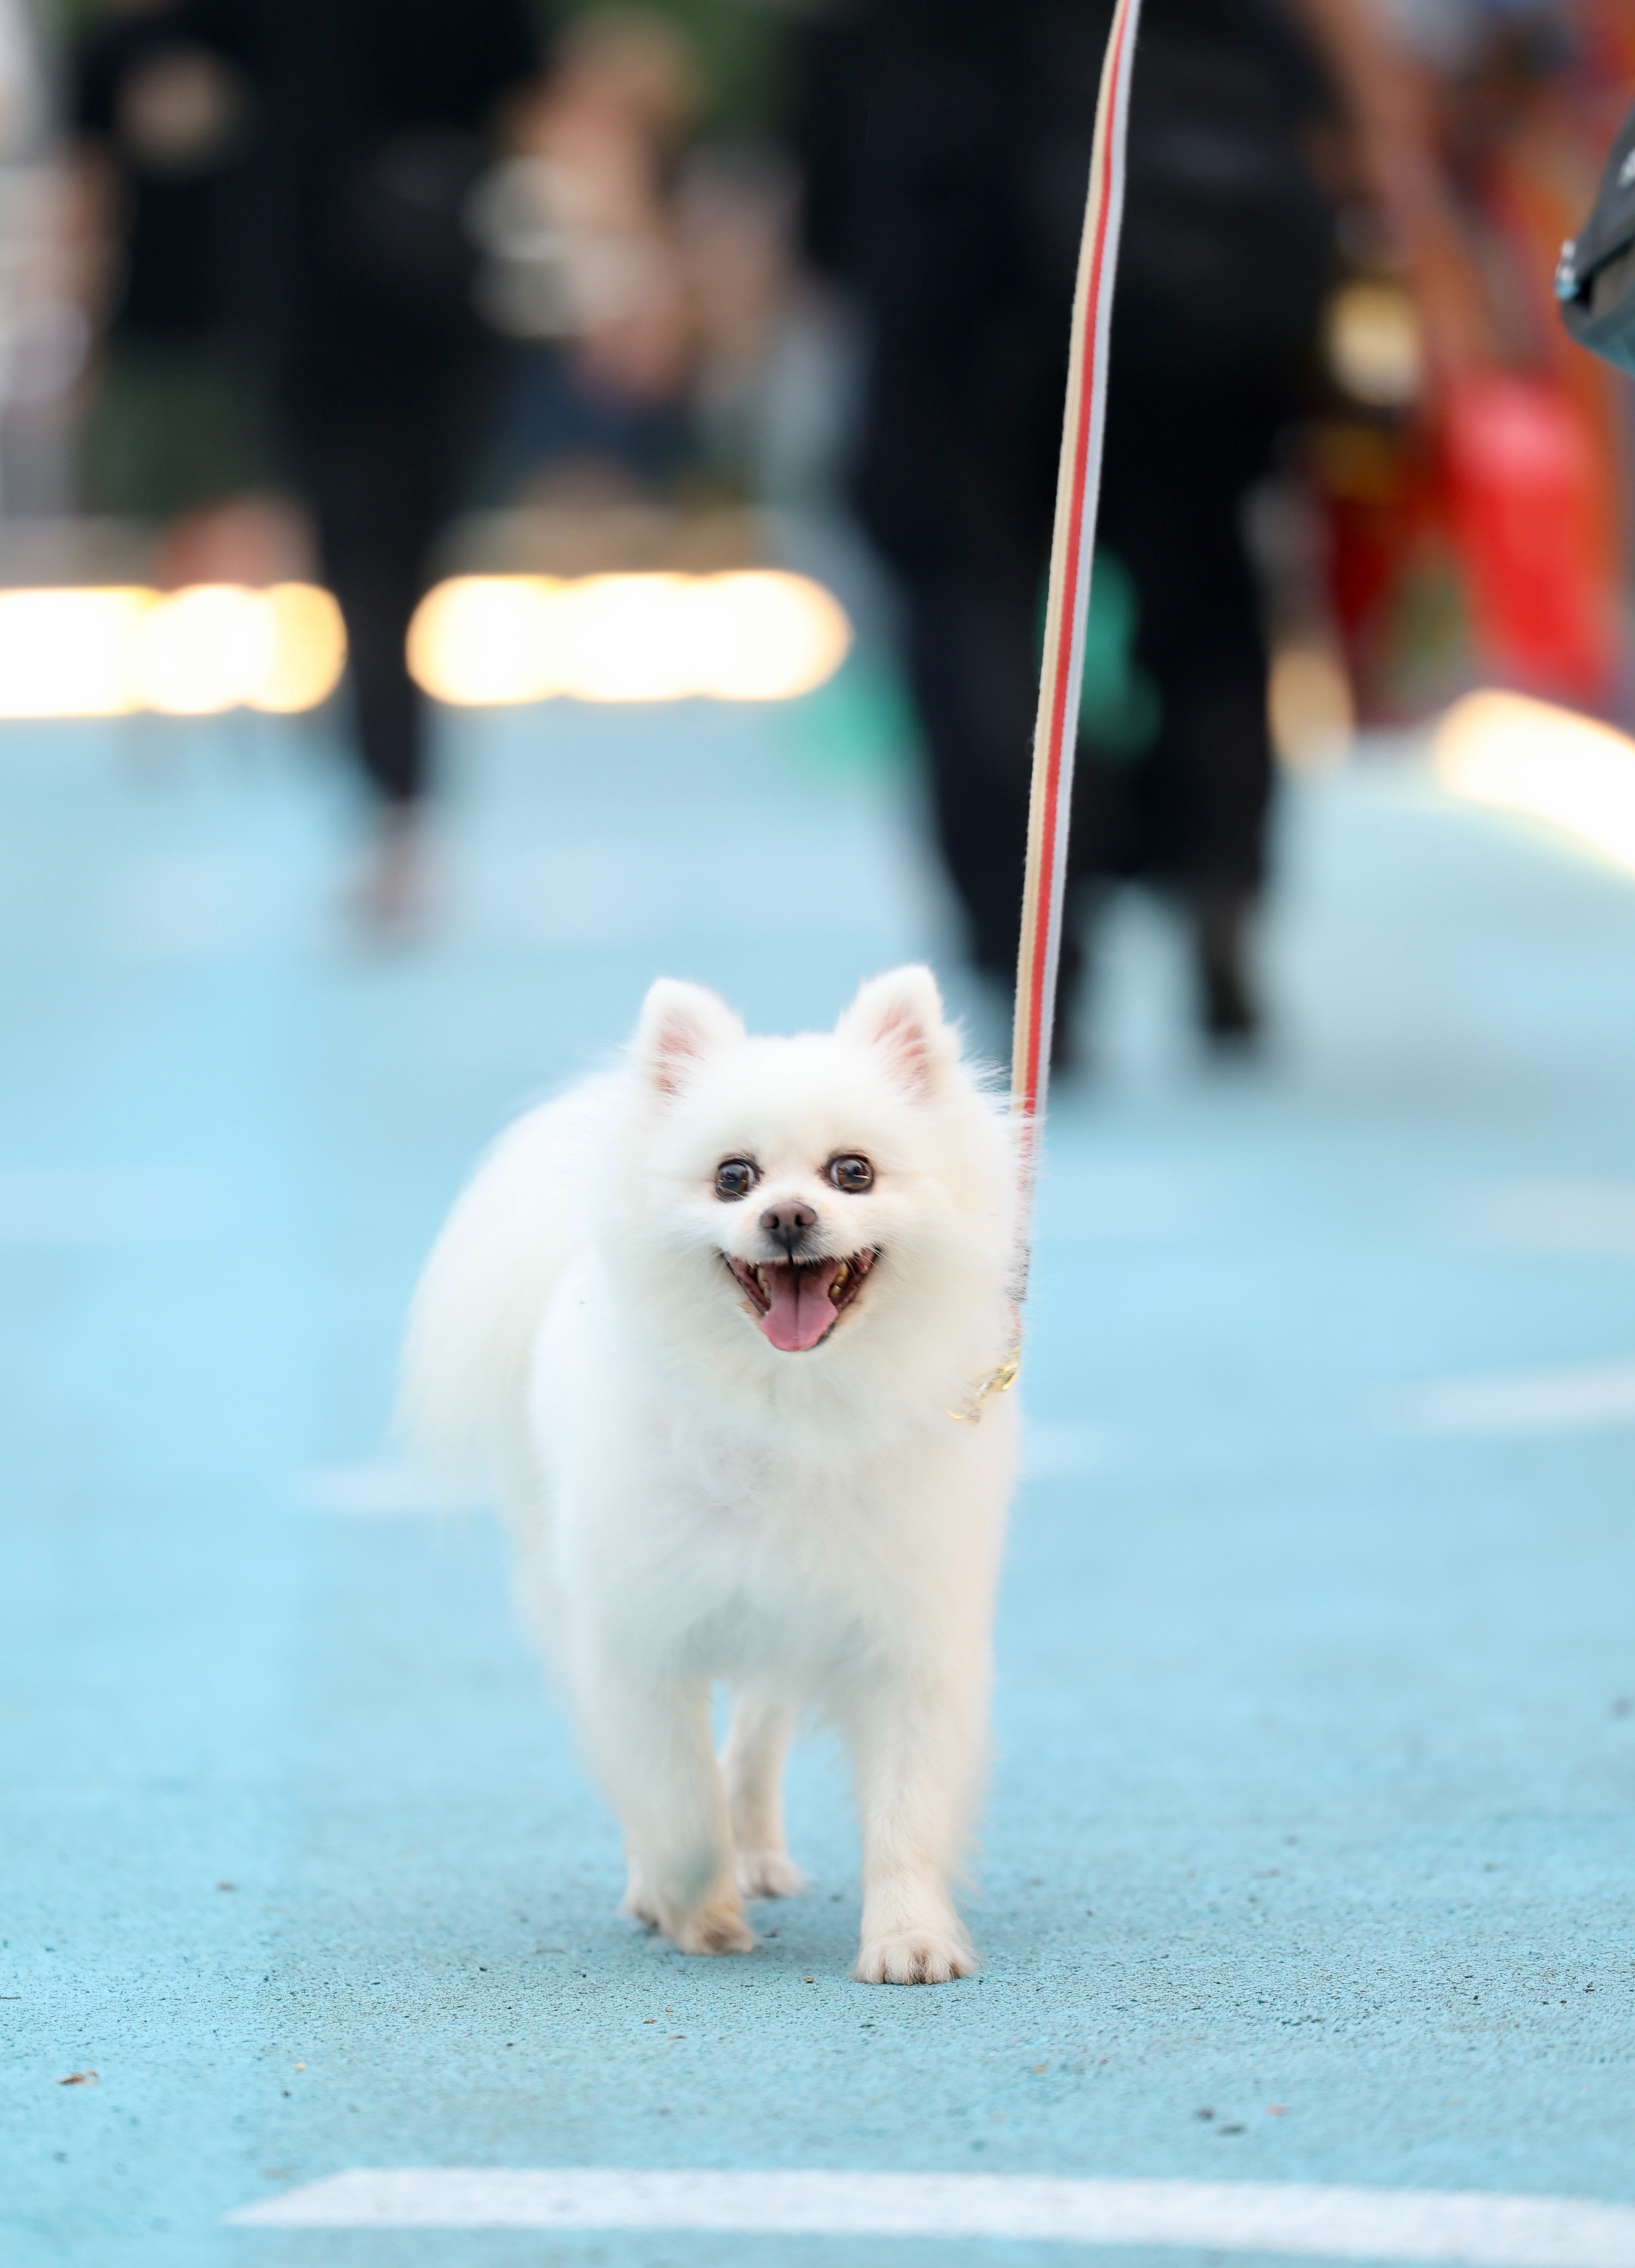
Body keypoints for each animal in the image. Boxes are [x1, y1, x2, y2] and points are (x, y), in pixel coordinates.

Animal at [402, 965, 1021, 1983]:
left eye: (854, 1171)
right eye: (735, 1176)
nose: (788, 1216)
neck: (792, 1409)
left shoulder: (906, 1636)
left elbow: (906, 1808)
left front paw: (909, 1937)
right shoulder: (638, 1638)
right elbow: (677, 1802)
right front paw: (692, 1907)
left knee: (756, 1742)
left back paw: (760, 1851)